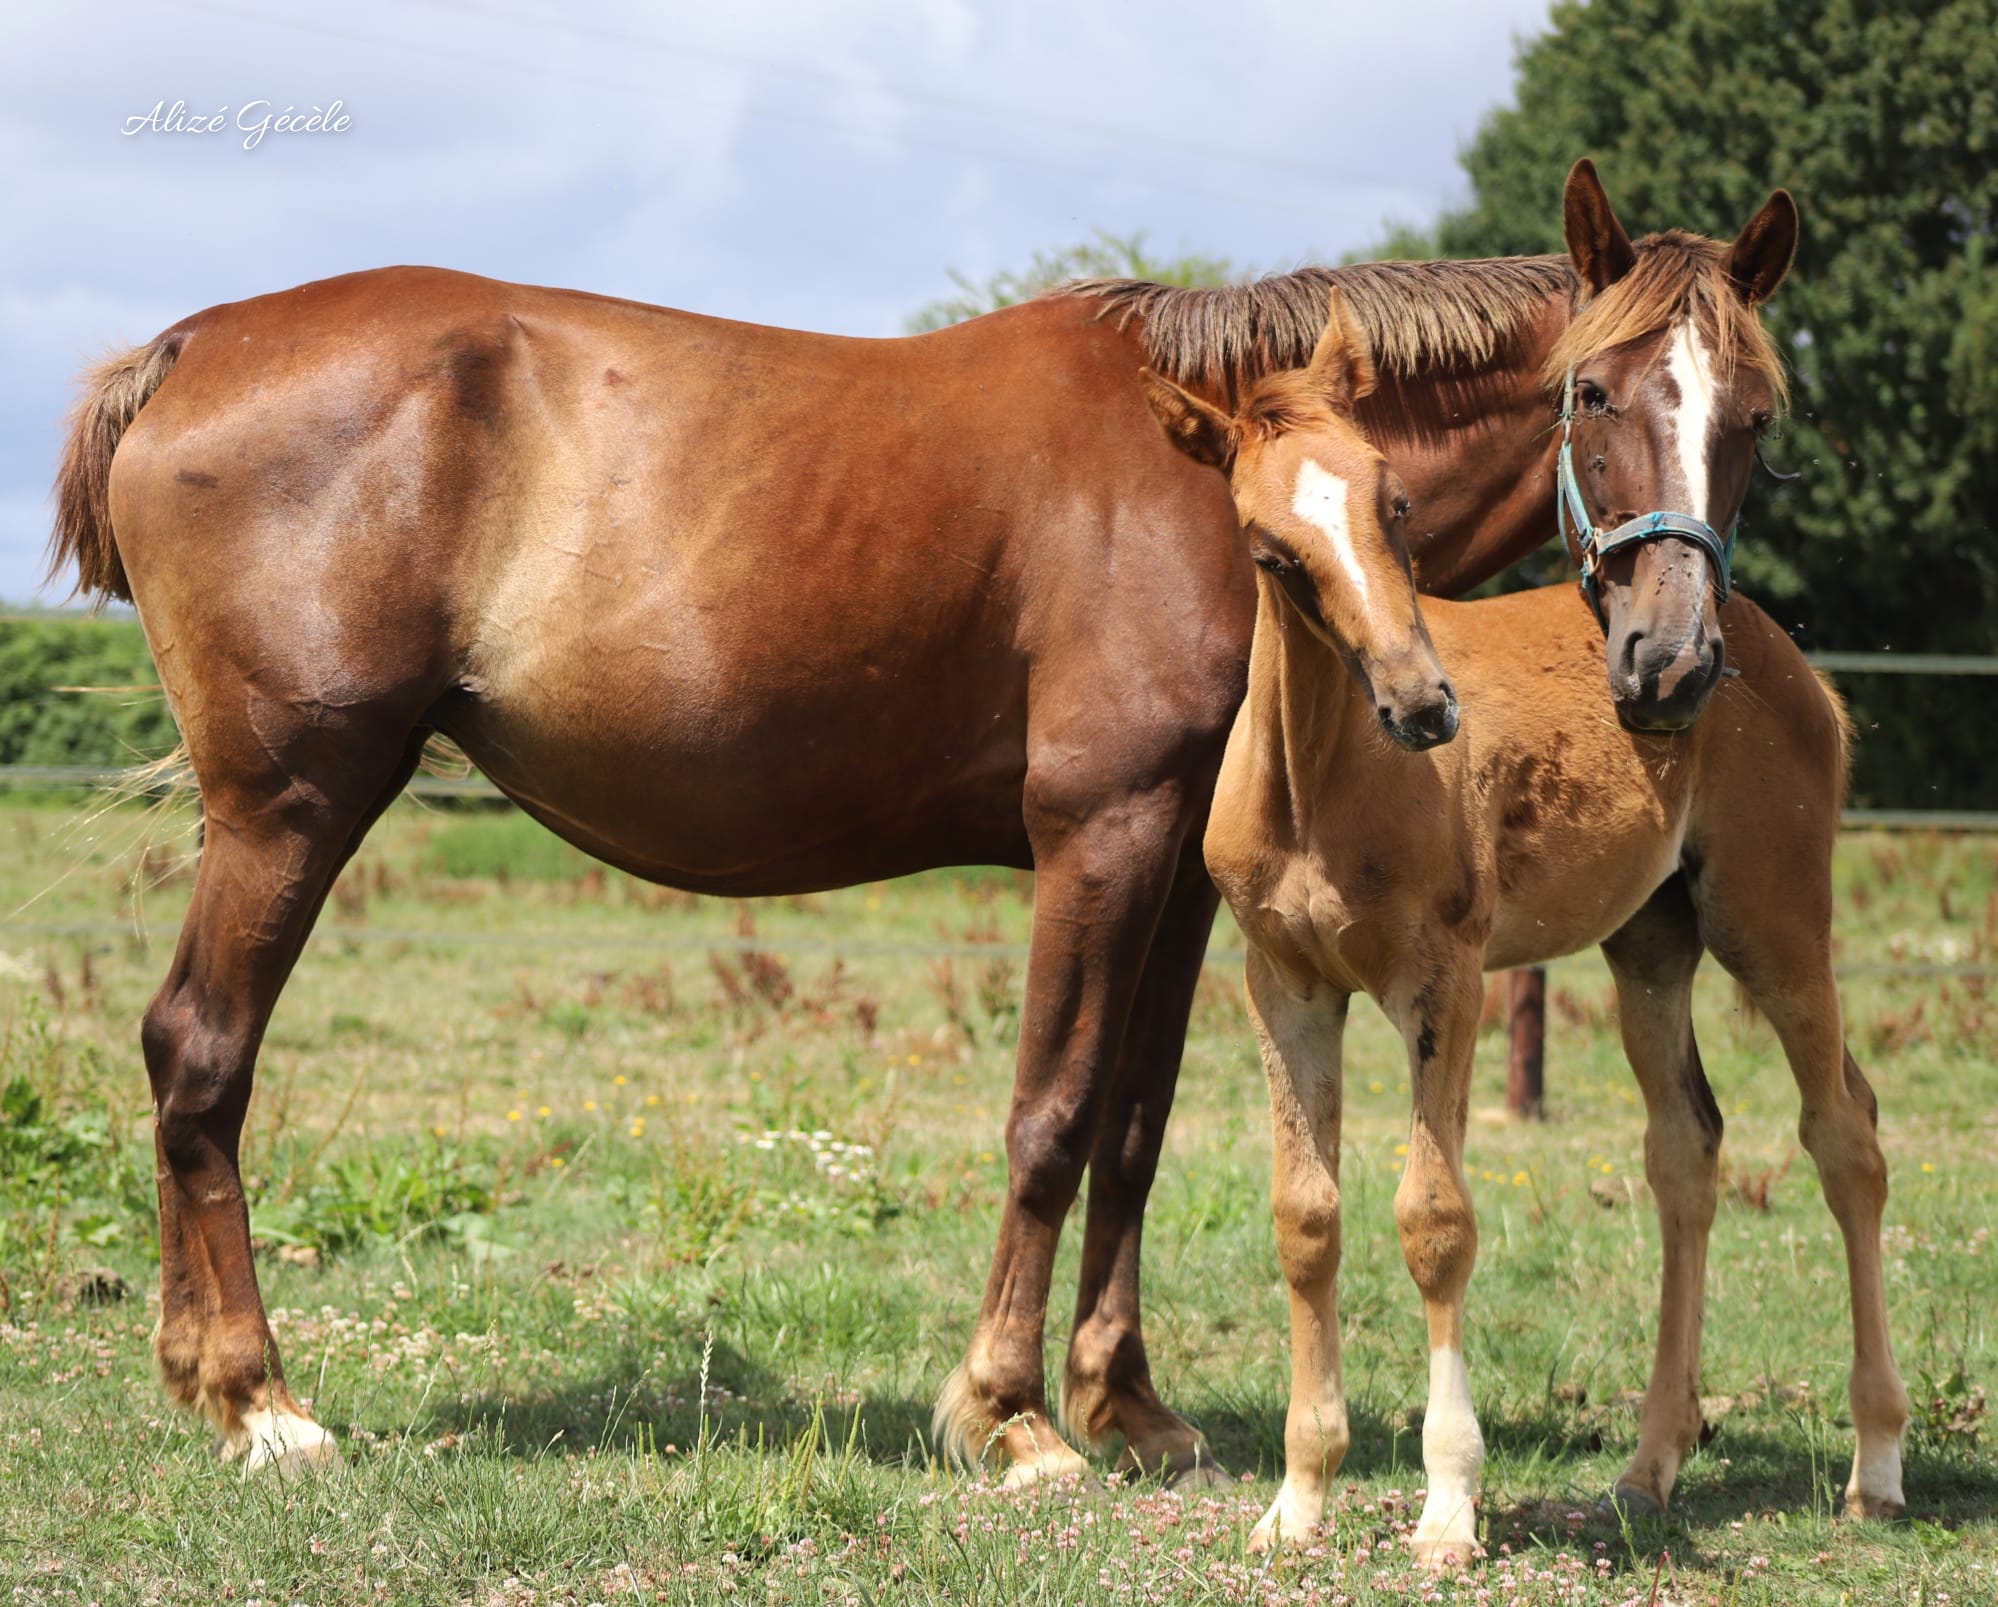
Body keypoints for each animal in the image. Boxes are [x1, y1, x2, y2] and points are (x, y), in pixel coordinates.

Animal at [1142, 295, 1902, 1567]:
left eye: (1397, 502)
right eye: (1269, 550)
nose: (1422, 705)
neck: (1322, 779)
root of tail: (1767, 650)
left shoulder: (1442, 976)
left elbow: (1435, 1217)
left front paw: (1449, 1506)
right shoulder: (1282, 979)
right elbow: (1307, 1216)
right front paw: (1297, 1498)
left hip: (1777, 919)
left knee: (1845, 1131)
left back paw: (1878, 1463)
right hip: (1651, 943)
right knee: (1685, 1147)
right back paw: (1649, 1467)